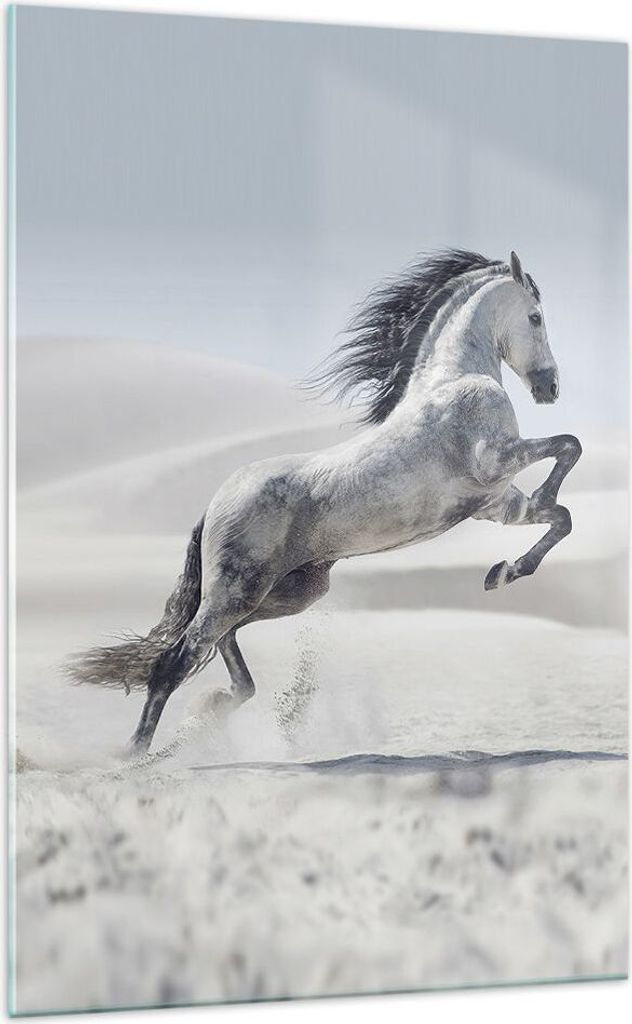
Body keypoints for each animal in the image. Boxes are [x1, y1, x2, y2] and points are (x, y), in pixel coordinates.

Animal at [67, 248, 582, 754]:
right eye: (536, 317)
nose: (551, 388)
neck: (454, 380)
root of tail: (213, 505)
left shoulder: (495, 502)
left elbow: (561, 516)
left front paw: (504, 572)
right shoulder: (495, 461)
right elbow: (569, 446)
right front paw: (519, 544)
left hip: (288, 592)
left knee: (221, 645)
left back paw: (213, 709)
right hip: (239, 590)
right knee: (175, 660)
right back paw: (138, 755)